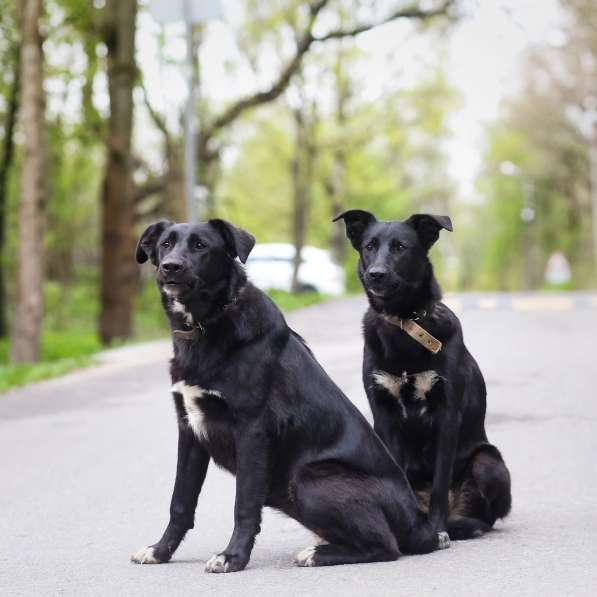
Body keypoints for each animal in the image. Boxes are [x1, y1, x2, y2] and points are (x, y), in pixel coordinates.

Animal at [130, 218, 448, 572]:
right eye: (165, 244)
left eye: (201, 245)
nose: (171, 267)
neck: (207, 325)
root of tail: (420, 525)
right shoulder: (189, 430)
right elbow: (180, 502)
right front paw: (160, 551)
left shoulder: (252, 431)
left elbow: (244, 504)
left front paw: (233, 557)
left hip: (308, 477)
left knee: (385, 546)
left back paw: (317, 554)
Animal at [332, 211, 510, 540]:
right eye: (369, 246)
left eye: (401, 247)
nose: (376, 274)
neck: (404, 324)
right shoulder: (384, 416)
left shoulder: (447, 416)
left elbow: (440, 484)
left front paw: (437, 532)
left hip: (488, 461)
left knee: (484, 515)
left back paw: (461, 526)